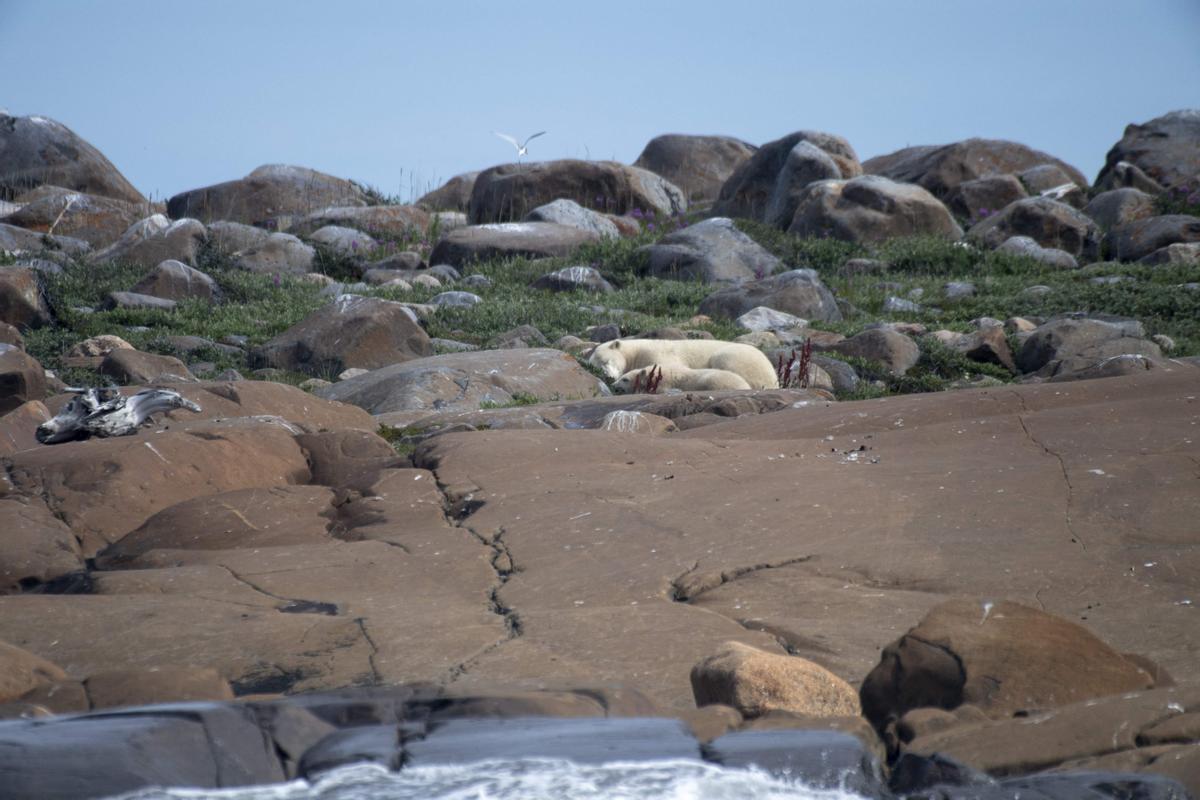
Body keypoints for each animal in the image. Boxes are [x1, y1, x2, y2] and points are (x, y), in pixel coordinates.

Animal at [588, 335, 777, 388]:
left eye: (605, 361)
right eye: (594, 368)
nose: (608, 377)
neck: (636, 352)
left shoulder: (657, 353)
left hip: (736, 357)